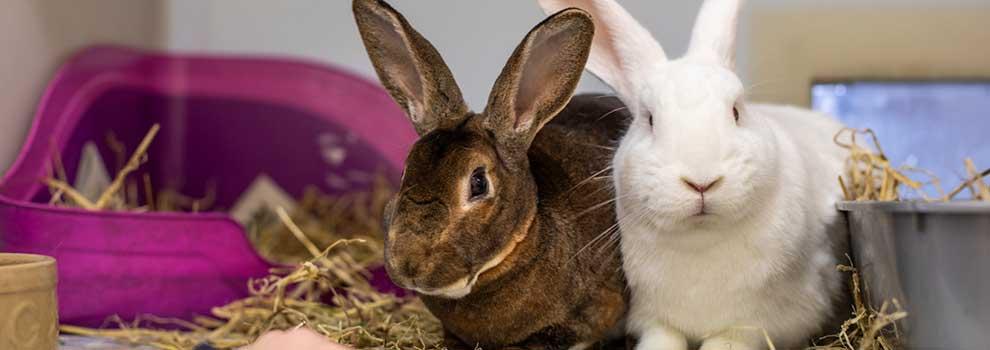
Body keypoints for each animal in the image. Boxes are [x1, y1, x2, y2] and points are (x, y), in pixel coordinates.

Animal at [544, 0, 852, 350]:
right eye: (650, 120)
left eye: (736, 111)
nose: (701, 181)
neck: (701, 240)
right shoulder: (654, 319)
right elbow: (660, 341)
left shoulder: (754, 326)